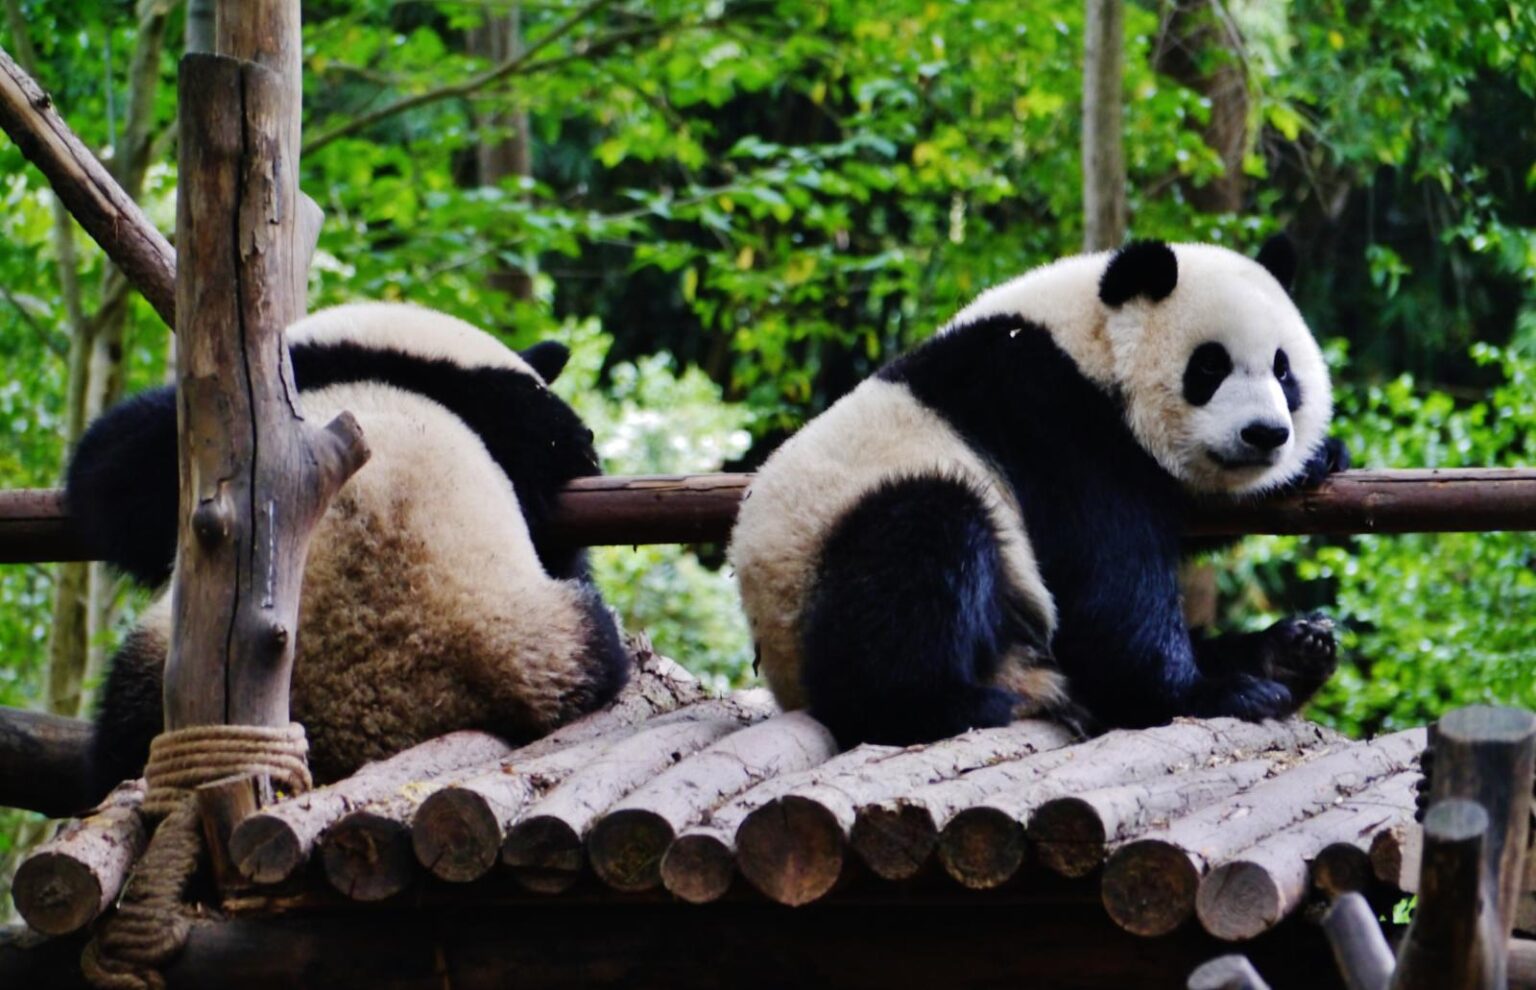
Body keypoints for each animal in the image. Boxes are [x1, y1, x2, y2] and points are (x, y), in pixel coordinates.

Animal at [728, 237, 1349, 747]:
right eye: (1209, 367)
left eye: (1284, 371)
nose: (1265, 434)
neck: (1087, 341)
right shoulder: (1050, 416)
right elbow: (1109, 582)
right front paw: (1209, 695)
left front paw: (1320, 459)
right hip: (827, 556)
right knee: (922, 545)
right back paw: (943, 705)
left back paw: (1291, 652)